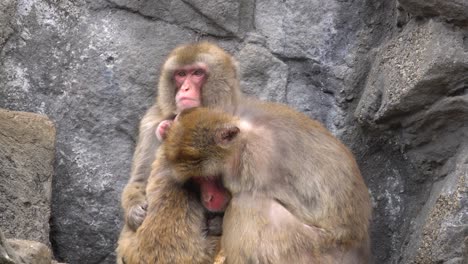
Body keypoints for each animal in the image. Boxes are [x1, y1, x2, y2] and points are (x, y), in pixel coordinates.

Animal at [163, 101, 372, 264]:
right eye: (196, 179)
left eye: (209, 177)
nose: (208, 198)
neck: (242, 139)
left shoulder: (258, 160)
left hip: (313, 250)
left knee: (248, 205)